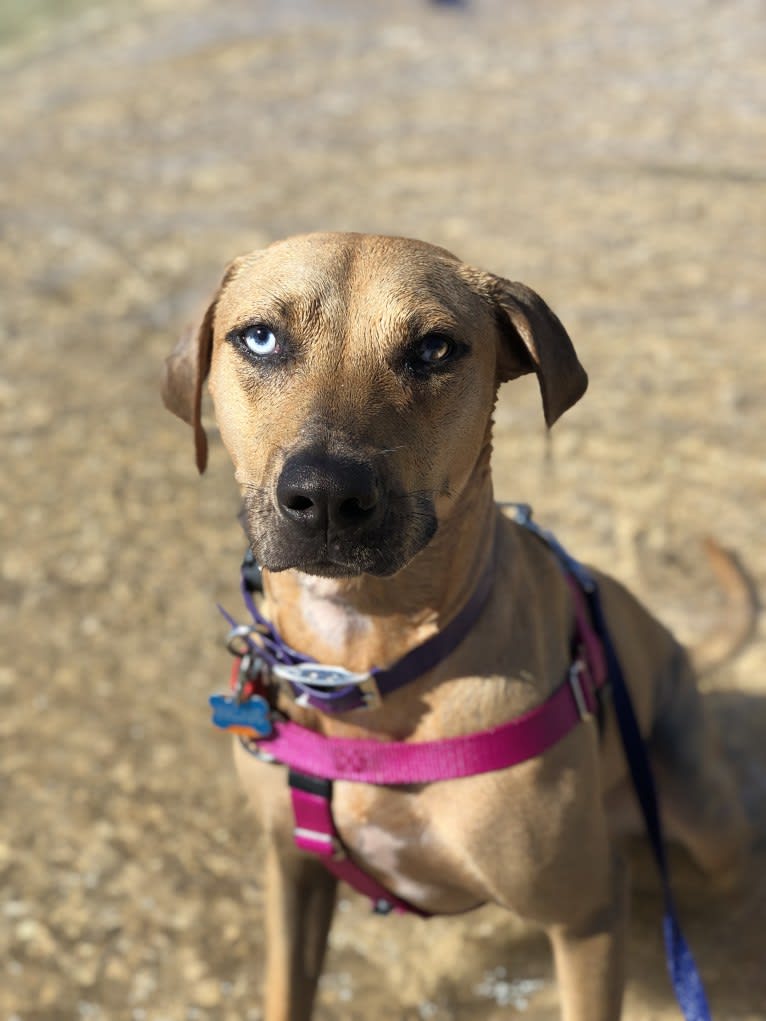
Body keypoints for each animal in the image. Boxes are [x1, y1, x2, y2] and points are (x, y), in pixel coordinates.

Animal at [162, 234, 751, 1021]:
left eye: (434, 349)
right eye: (259, 338)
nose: (327, 495)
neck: (370, 664)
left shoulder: (586, 916)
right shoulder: (292, 873)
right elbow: (288, 988)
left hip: (705, 817)